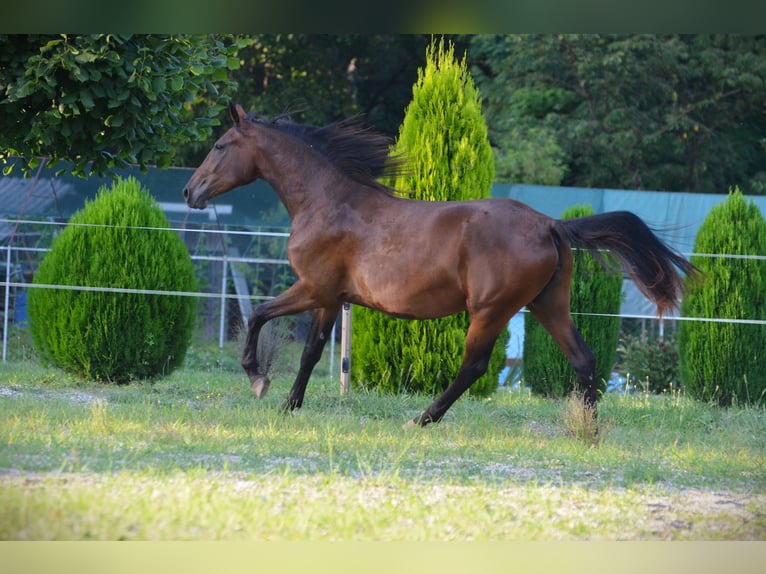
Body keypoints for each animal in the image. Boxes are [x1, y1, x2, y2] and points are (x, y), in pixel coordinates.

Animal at [184, 102, 704, 428]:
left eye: (220, 145)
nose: (191, 191)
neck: (327, 201)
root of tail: (549, 224)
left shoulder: (315, 288)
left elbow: (258, 315)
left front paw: (259, 381)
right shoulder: (331, 299)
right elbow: (311, 351)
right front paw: (288, 406)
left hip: (492, 311)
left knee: (473, 367)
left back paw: (421, 419)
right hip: (548, 305)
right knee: (584, 359)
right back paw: (588, 431)